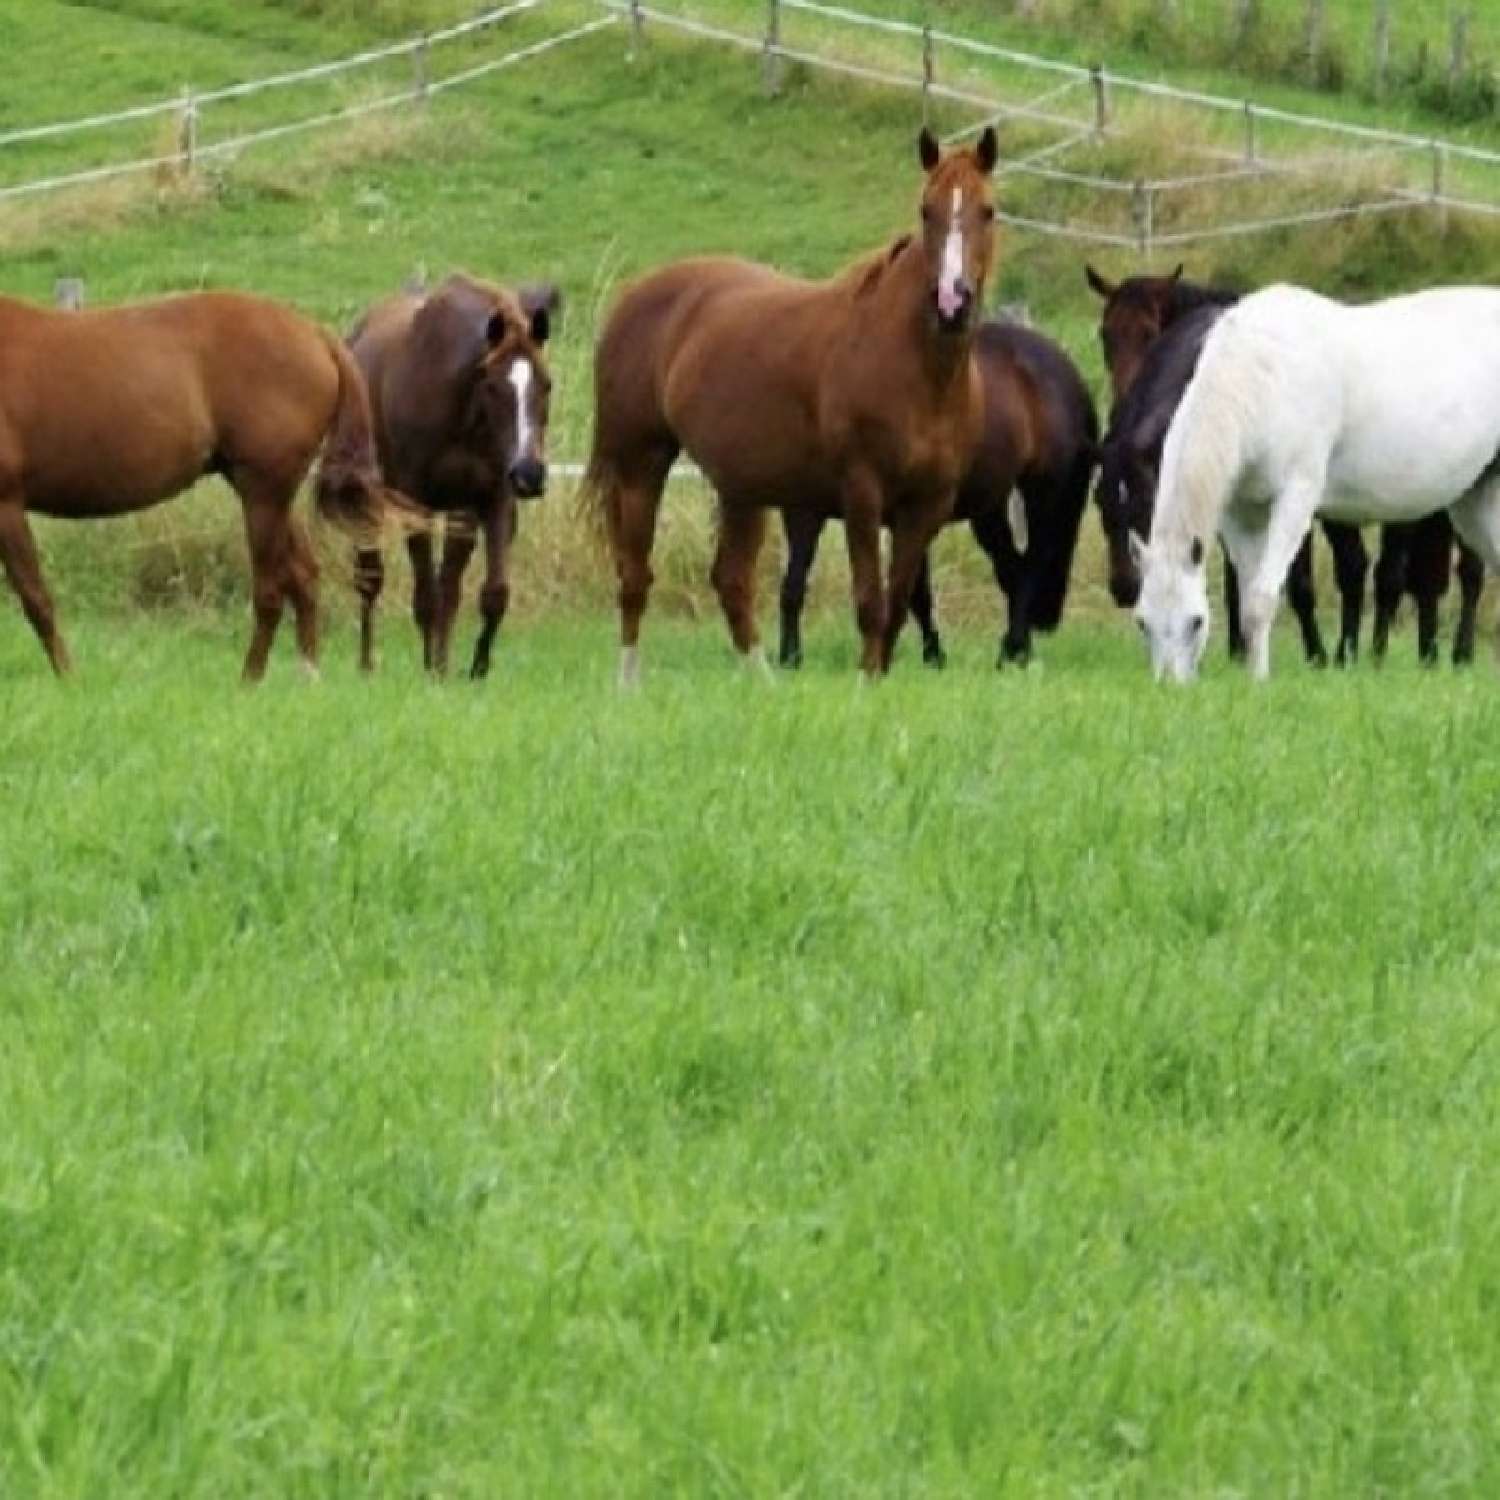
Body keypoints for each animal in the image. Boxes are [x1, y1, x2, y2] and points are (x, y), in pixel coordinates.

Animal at [0, 285, 399, 681]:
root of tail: (316, 335)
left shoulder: (7, 505)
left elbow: (35, 597)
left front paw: (69, 680)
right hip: (270, 494)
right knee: (303, 576)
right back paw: (306, 675)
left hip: (263, 493)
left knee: (271, 591)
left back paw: (250, 680)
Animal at [346, 277, 558, 681]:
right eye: (492, 386)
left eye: (547, 384)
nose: (529, 474)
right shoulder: (417, 504)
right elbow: (427, 597)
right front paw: (432, 670)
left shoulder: (488, 501)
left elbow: (488, 593)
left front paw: (474, 668)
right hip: (362, 497)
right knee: (369, 579)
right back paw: (365, 665)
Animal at [582, 126, 996, 684]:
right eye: (925, 210)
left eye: (988, 211)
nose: (952, 302)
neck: (919, 371)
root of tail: (633, 297)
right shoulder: (861, 494)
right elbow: (871, 603)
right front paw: (865, 686)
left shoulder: (926, 506)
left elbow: (898, 606)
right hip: (639, 464)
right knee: (634, 576)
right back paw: (628, 684)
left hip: (741, 487)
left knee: (731, 580)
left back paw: (764, 683)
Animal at [780, 319, 1098, 672]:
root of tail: (1067, 371)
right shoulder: (803, 510)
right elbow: (795, 583)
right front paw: (789, 657)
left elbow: (912, 589)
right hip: (989, 509)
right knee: (1012, 570)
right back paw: (1019, 651)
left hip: (1044, 492)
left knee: (1032, 564)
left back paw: (1010, 651)